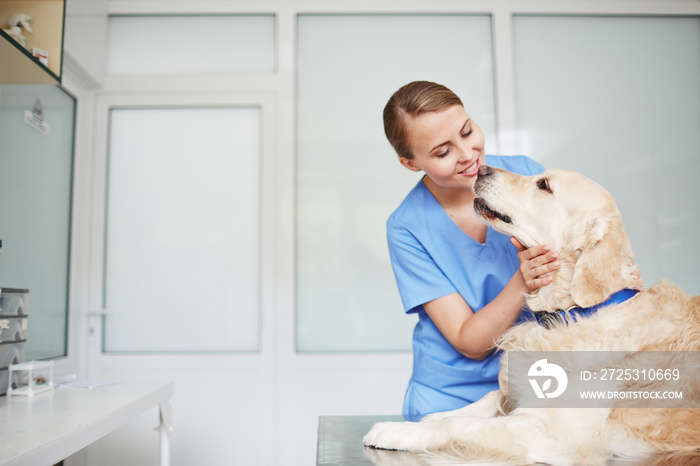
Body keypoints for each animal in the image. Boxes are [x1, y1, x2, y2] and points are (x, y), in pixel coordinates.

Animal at [364, 166, 696, 464]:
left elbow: (460, 425)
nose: (481, 169)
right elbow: (486, 399)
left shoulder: (553, 436)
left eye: (544, 185)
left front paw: (396, 430)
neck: (571, 314)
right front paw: (429, 416)